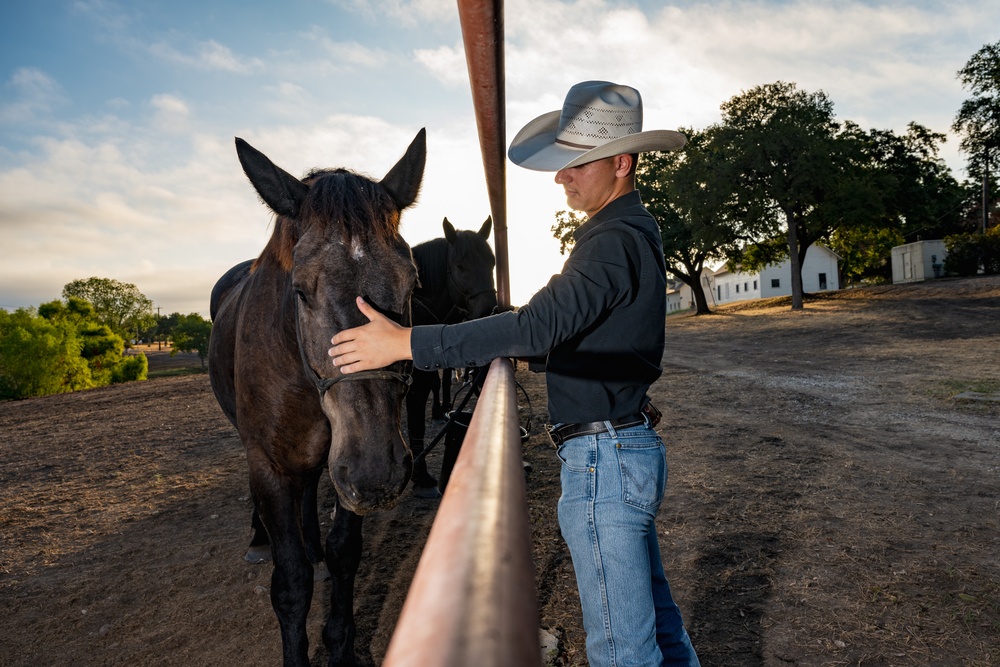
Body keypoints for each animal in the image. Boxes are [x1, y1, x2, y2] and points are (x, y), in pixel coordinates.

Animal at [207, 130, 426, 667]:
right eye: (301, 290)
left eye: (412, 283)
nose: (378, 473)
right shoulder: (270, 464)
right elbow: (290, 584)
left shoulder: (344, 464)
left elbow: (346, 555)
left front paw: (341, 645)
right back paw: (260, 537)